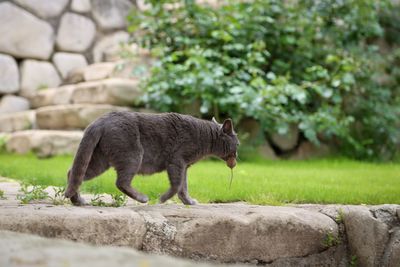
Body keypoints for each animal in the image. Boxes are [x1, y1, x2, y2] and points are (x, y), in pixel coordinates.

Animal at [64, 112, 239, 206]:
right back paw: (142, 198)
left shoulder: (184, 166)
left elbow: (184, 187)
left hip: (100, 160)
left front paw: (188, 202)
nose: (237, 157)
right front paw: (162, 199)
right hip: (133, 155)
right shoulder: (177, 161)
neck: (205, 136)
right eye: (237, 144)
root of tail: (99, 120)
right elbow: (177, 185)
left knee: (74, 173)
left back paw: (78, 201)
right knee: (121, 182)